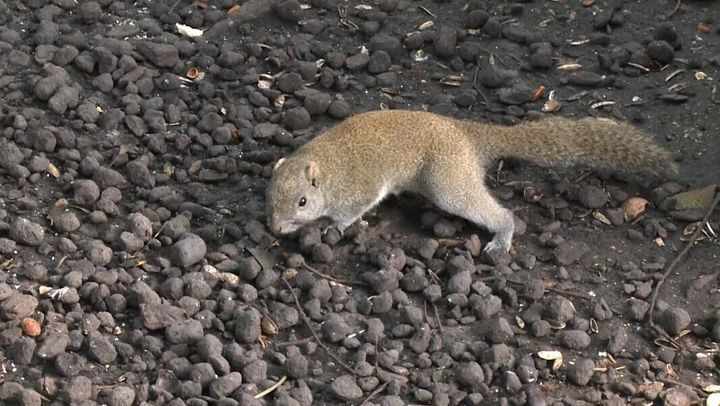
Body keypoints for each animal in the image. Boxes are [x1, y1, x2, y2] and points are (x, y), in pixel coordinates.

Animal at [262, 108, 676, 254]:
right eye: (271, 198)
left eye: (302, 202)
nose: (276, 228)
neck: (327, 166)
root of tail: (468, 136)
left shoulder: (357, 189)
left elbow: (352, 210)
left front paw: (332, 226)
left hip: (448, 182)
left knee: (497, 212)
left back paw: (502, 237)